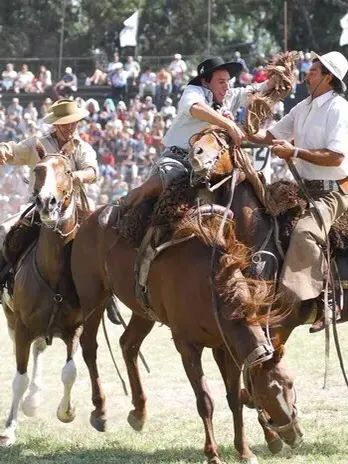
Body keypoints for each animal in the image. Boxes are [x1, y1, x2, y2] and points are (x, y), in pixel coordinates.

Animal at [0, 145, 83, 446]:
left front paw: (66, 412)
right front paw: (9, 428)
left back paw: (34, 400)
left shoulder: (76, 328)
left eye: (68, 171)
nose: (47, 202)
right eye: (38, 169)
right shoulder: (23, 327)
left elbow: (70, 372)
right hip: (12, 319)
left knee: (40, 349)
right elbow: (19, 379)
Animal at [70, 150, 302, 464]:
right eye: (267, 393)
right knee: (89, 345)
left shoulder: (226, 347)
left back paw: (139, 412)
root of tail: (90, 219)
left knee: (128, 344)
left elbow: (233, 397)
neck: (209, 285)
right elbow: (205, 400)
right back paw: (101, 411)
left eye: (290, 384)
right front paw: (213, 453)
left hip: (142, 310)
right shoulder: (186, 346)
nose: (295, 436)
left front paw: (244, 450)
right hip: (93, 297)